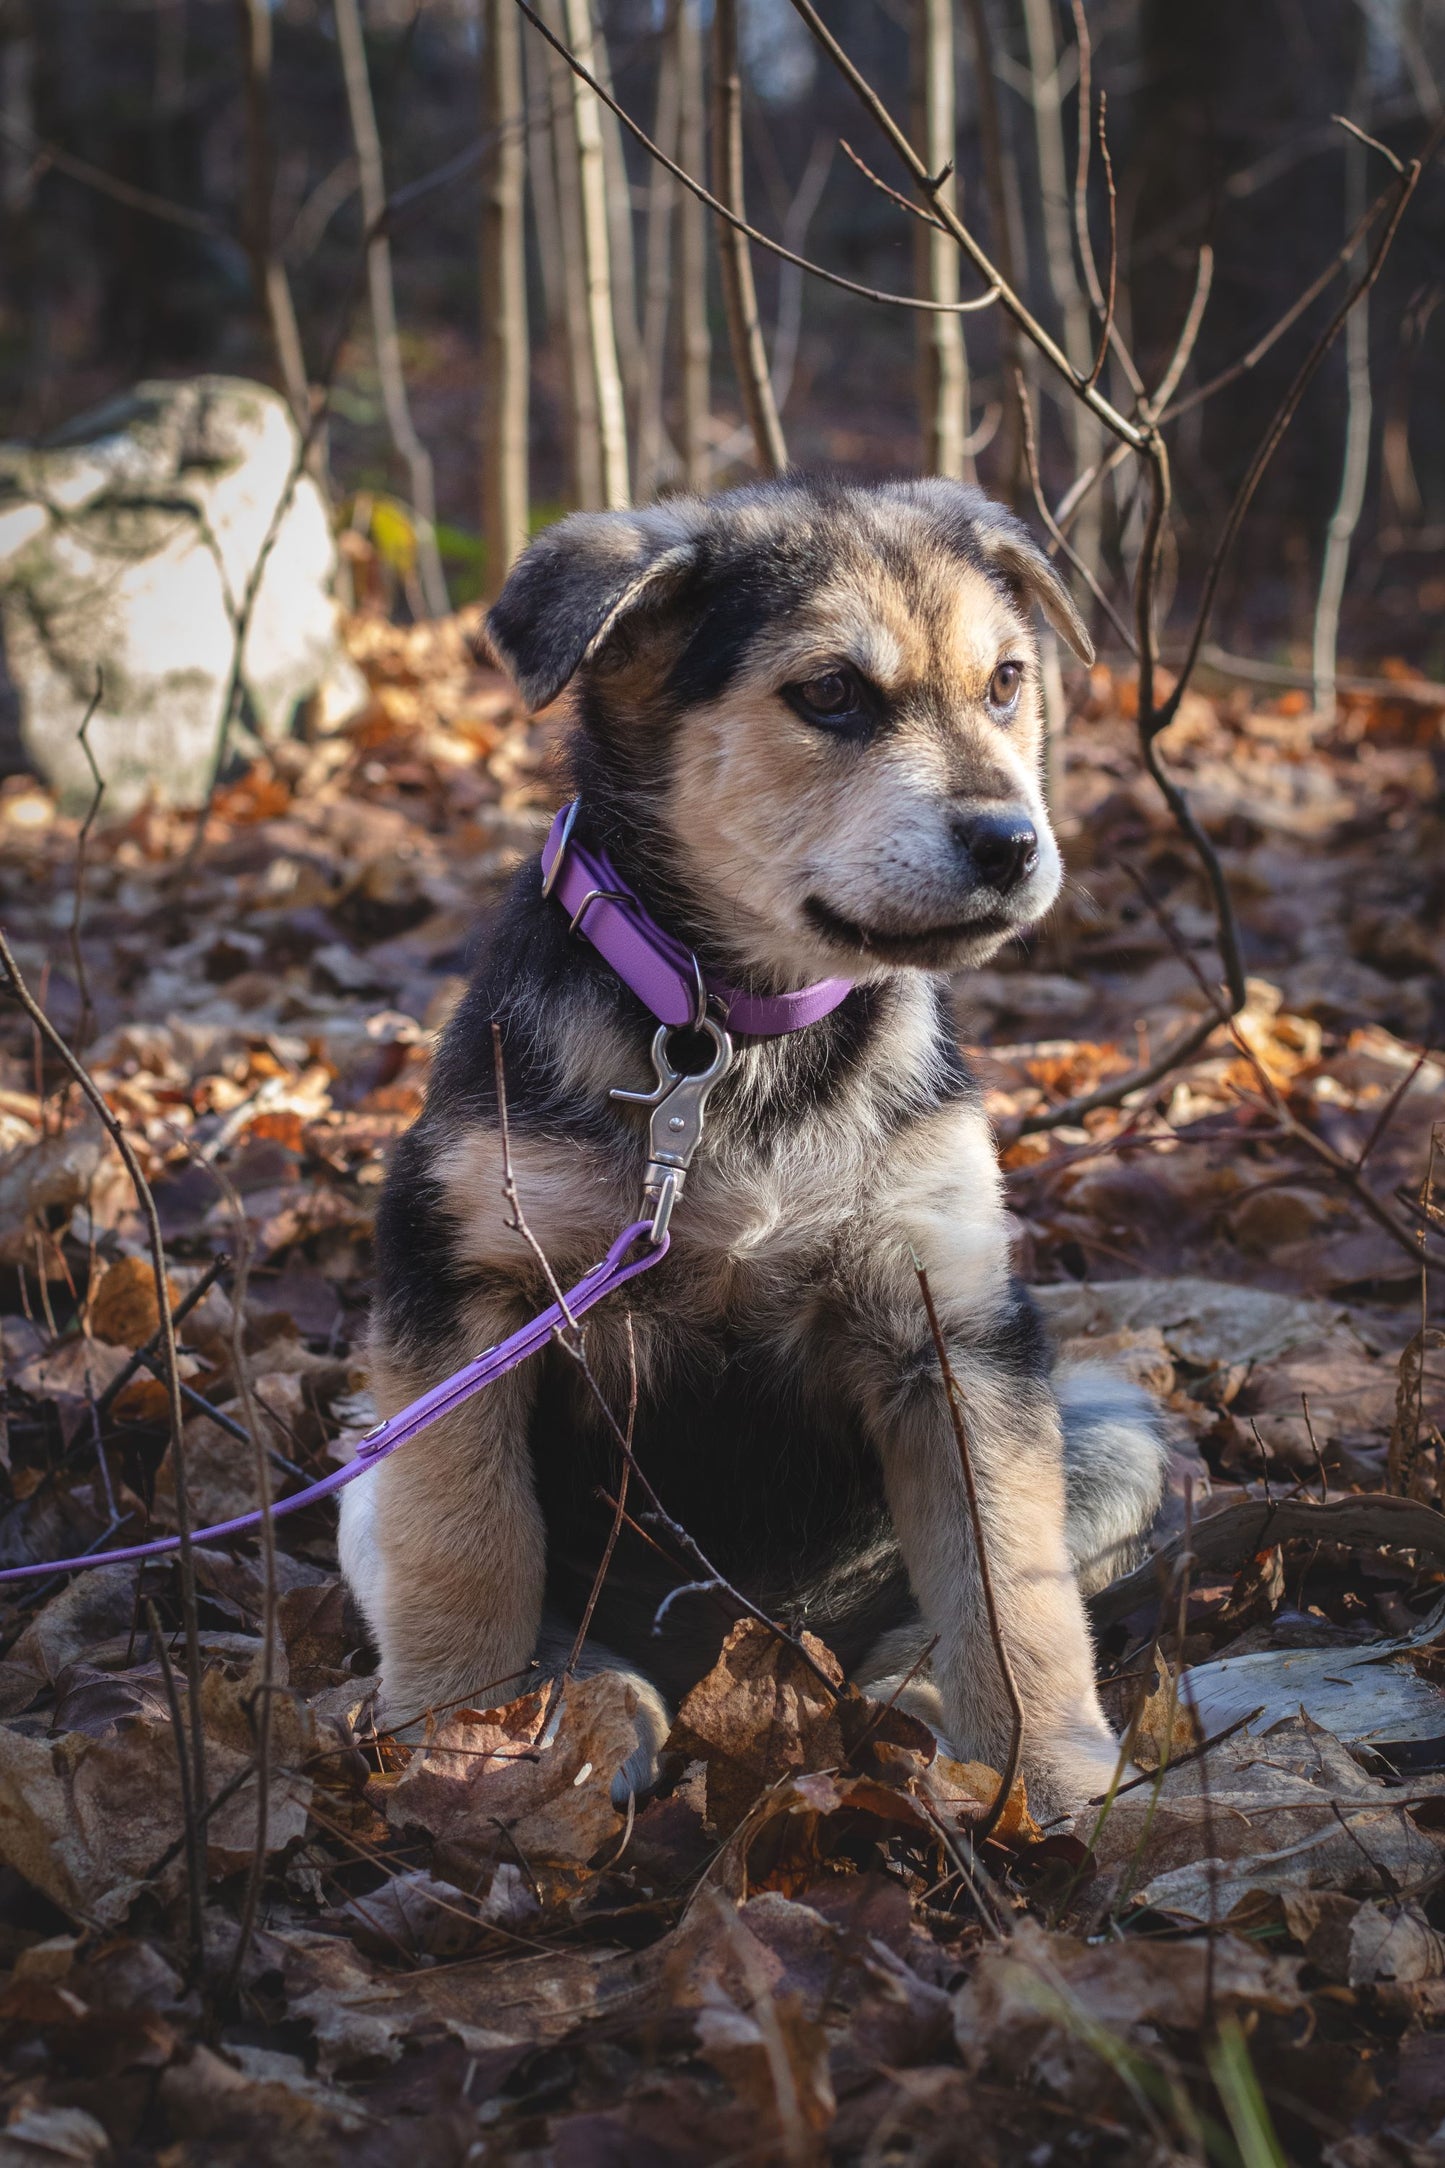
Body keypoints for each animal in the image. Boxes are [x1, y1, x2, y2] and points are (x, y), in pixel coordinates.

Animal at [344, 479, 1169, 1812]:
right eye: (827, 692)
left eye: (1004, 681)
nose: (1012, 843)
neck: (735, 1036)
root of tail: (745, 1644)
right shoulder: (458, 1291)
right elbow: (464, 1545)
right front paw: (461, 1740)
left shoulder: (954, 1326)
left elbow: (1010, 1584)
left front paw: (1047, 1773)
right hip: (361, 1465)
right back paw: (584, 1707)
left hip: (1109, 1420)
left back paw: (908, 1706)